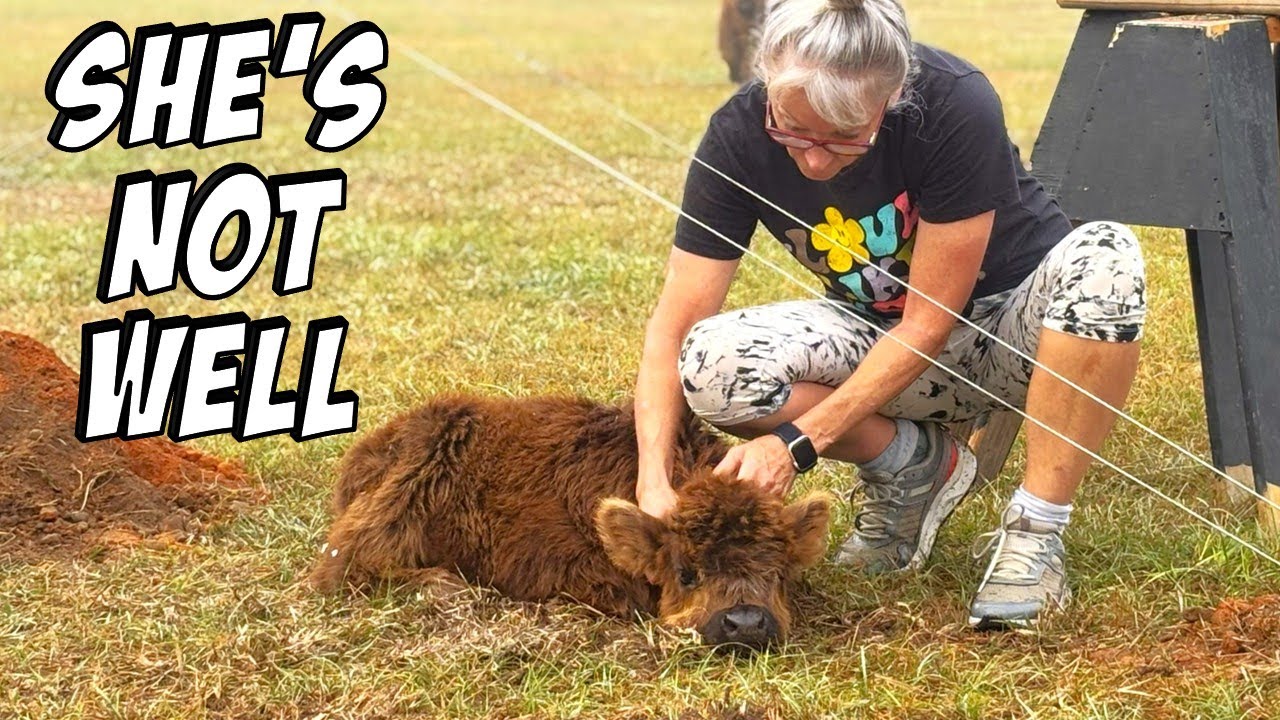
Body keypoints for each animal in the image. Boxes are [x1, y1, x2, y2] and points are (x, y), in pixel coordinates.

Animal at [309, 394, 833, 651]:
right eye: (687, 573)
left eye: (779, 573)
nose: (745, 622)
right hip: (413, 475)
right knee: (343, 565)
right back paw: (445, 585)